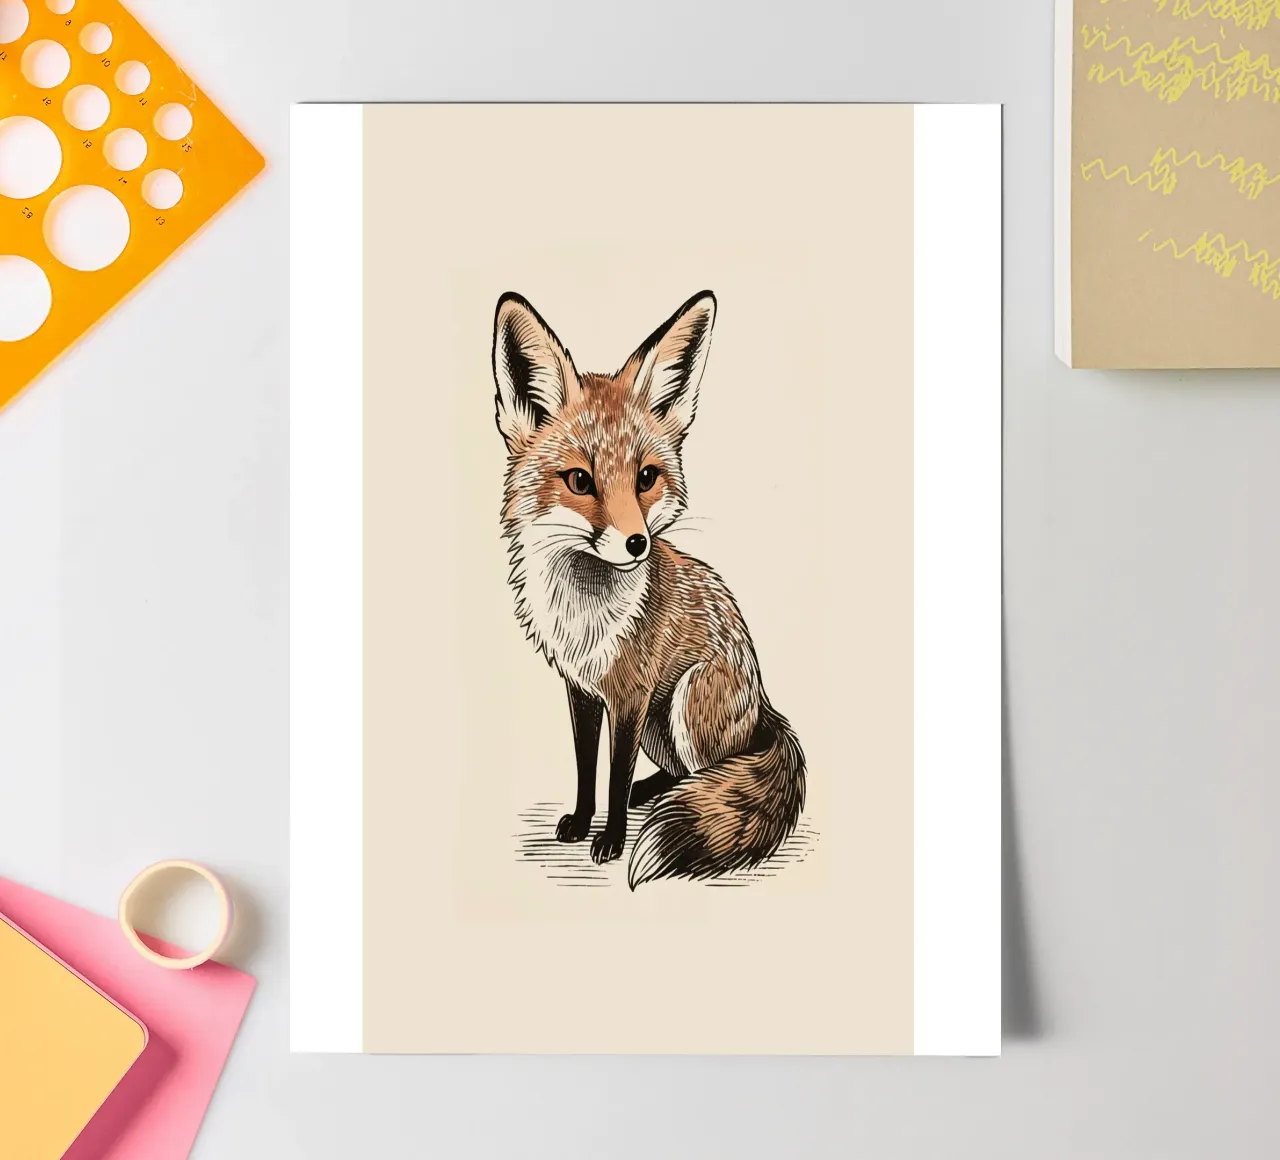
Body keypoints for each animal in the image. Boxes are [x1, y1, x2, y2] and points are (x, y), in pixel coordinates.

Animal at [492, 289, 806, 888]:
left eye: (645, 478)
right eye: (580, 481)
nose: (637, 543)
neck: (585, 614)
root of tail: (764, 706)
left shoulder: (631, 695)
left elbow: (615, 773)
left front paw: (611, 839)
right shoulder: (583, 690)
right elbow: (586, 765)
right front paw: (582, 821)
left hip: (684, 701)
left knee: (714, 772)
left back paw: (673, 798)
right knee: (683, 772)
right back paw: (656, 792)